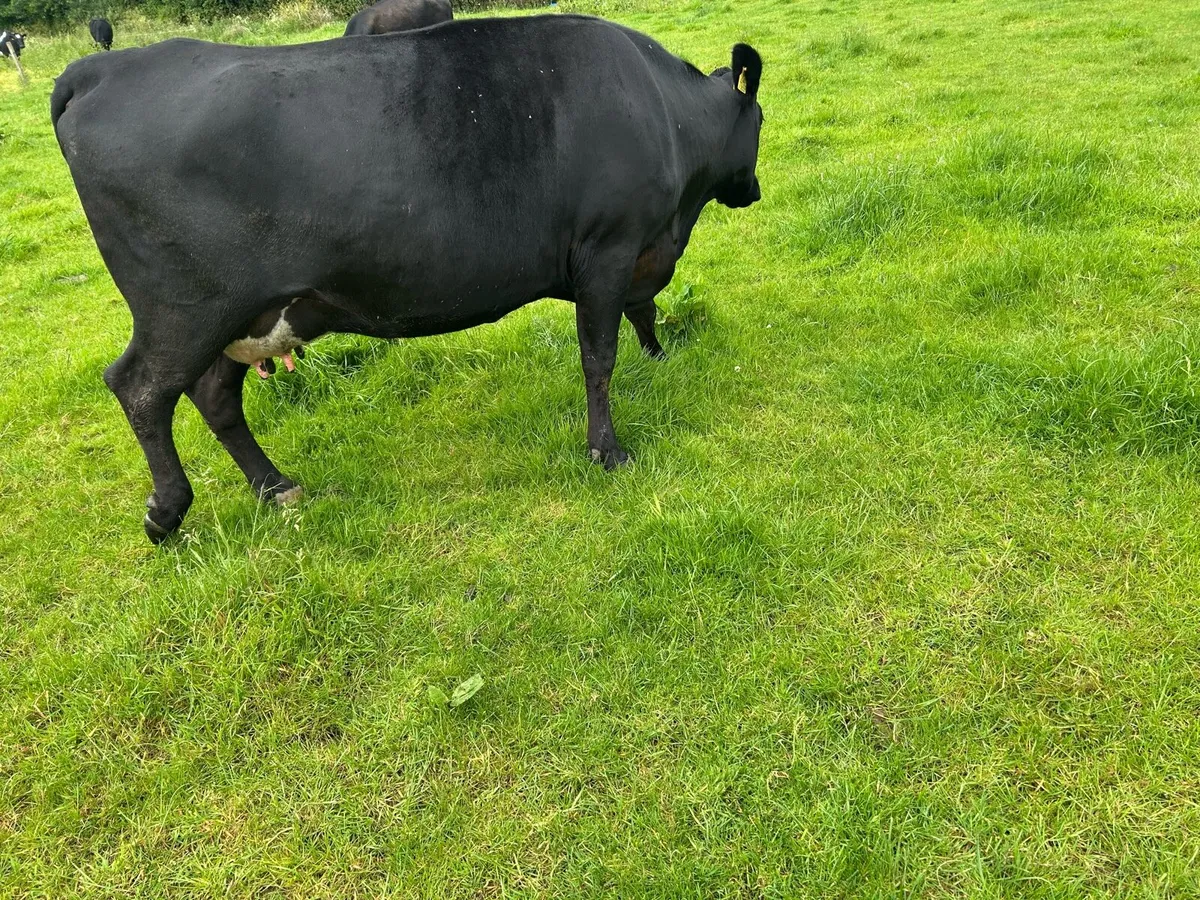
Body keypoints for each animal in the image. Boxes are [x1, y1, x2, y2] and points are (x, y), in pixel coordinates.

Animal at [49, 14, 764, 543]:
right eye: (759, 120)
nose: (753, 190)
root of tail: (101, 67)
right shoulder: (608, 249)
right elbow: (599, 355)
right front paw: (607, 451)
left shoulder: (634, 254)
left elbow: (642, 314)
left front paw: (658, 355)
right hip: (185, 308)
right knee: (140, 388)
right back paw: (167, 512)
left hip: (249, 312)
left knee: (214, 395)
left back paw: (277, 488)